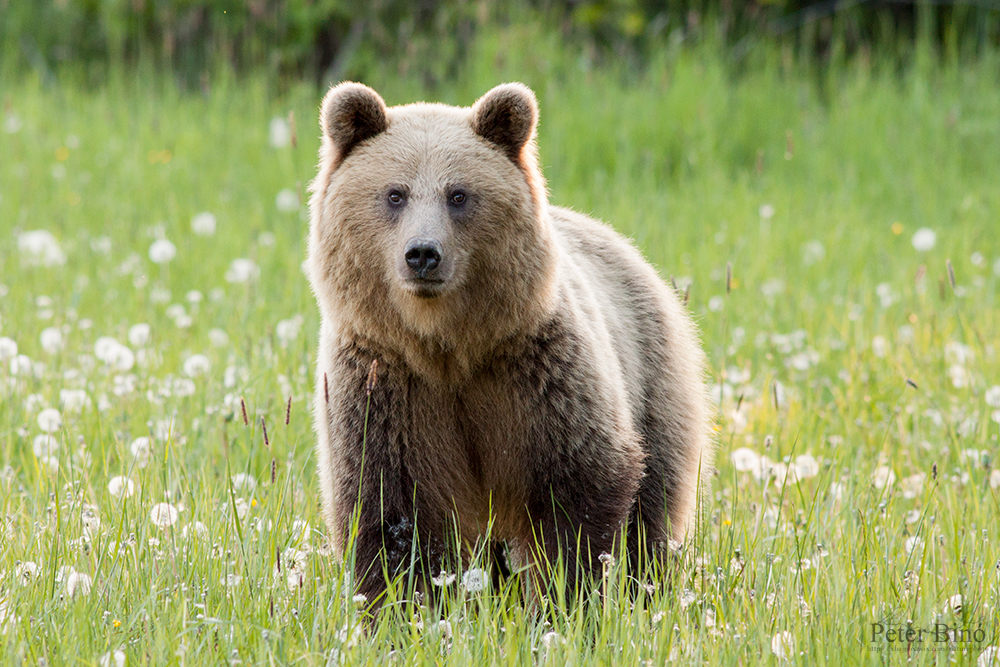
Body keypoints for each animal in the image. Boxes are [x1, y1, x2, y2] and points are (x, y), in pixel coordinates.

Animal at [306, 81, 713, 611]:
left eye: (458, 194)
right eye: (395, 194)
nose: (423, 254)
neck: (447, 348)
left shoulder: (538, 378)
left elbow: (580, 489)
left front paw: (564, 603)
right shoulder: (385, 388)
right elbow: (389, 513)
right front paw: (402, 611)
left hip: (653, 377)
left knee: (653, 516)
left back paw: (648, 594)